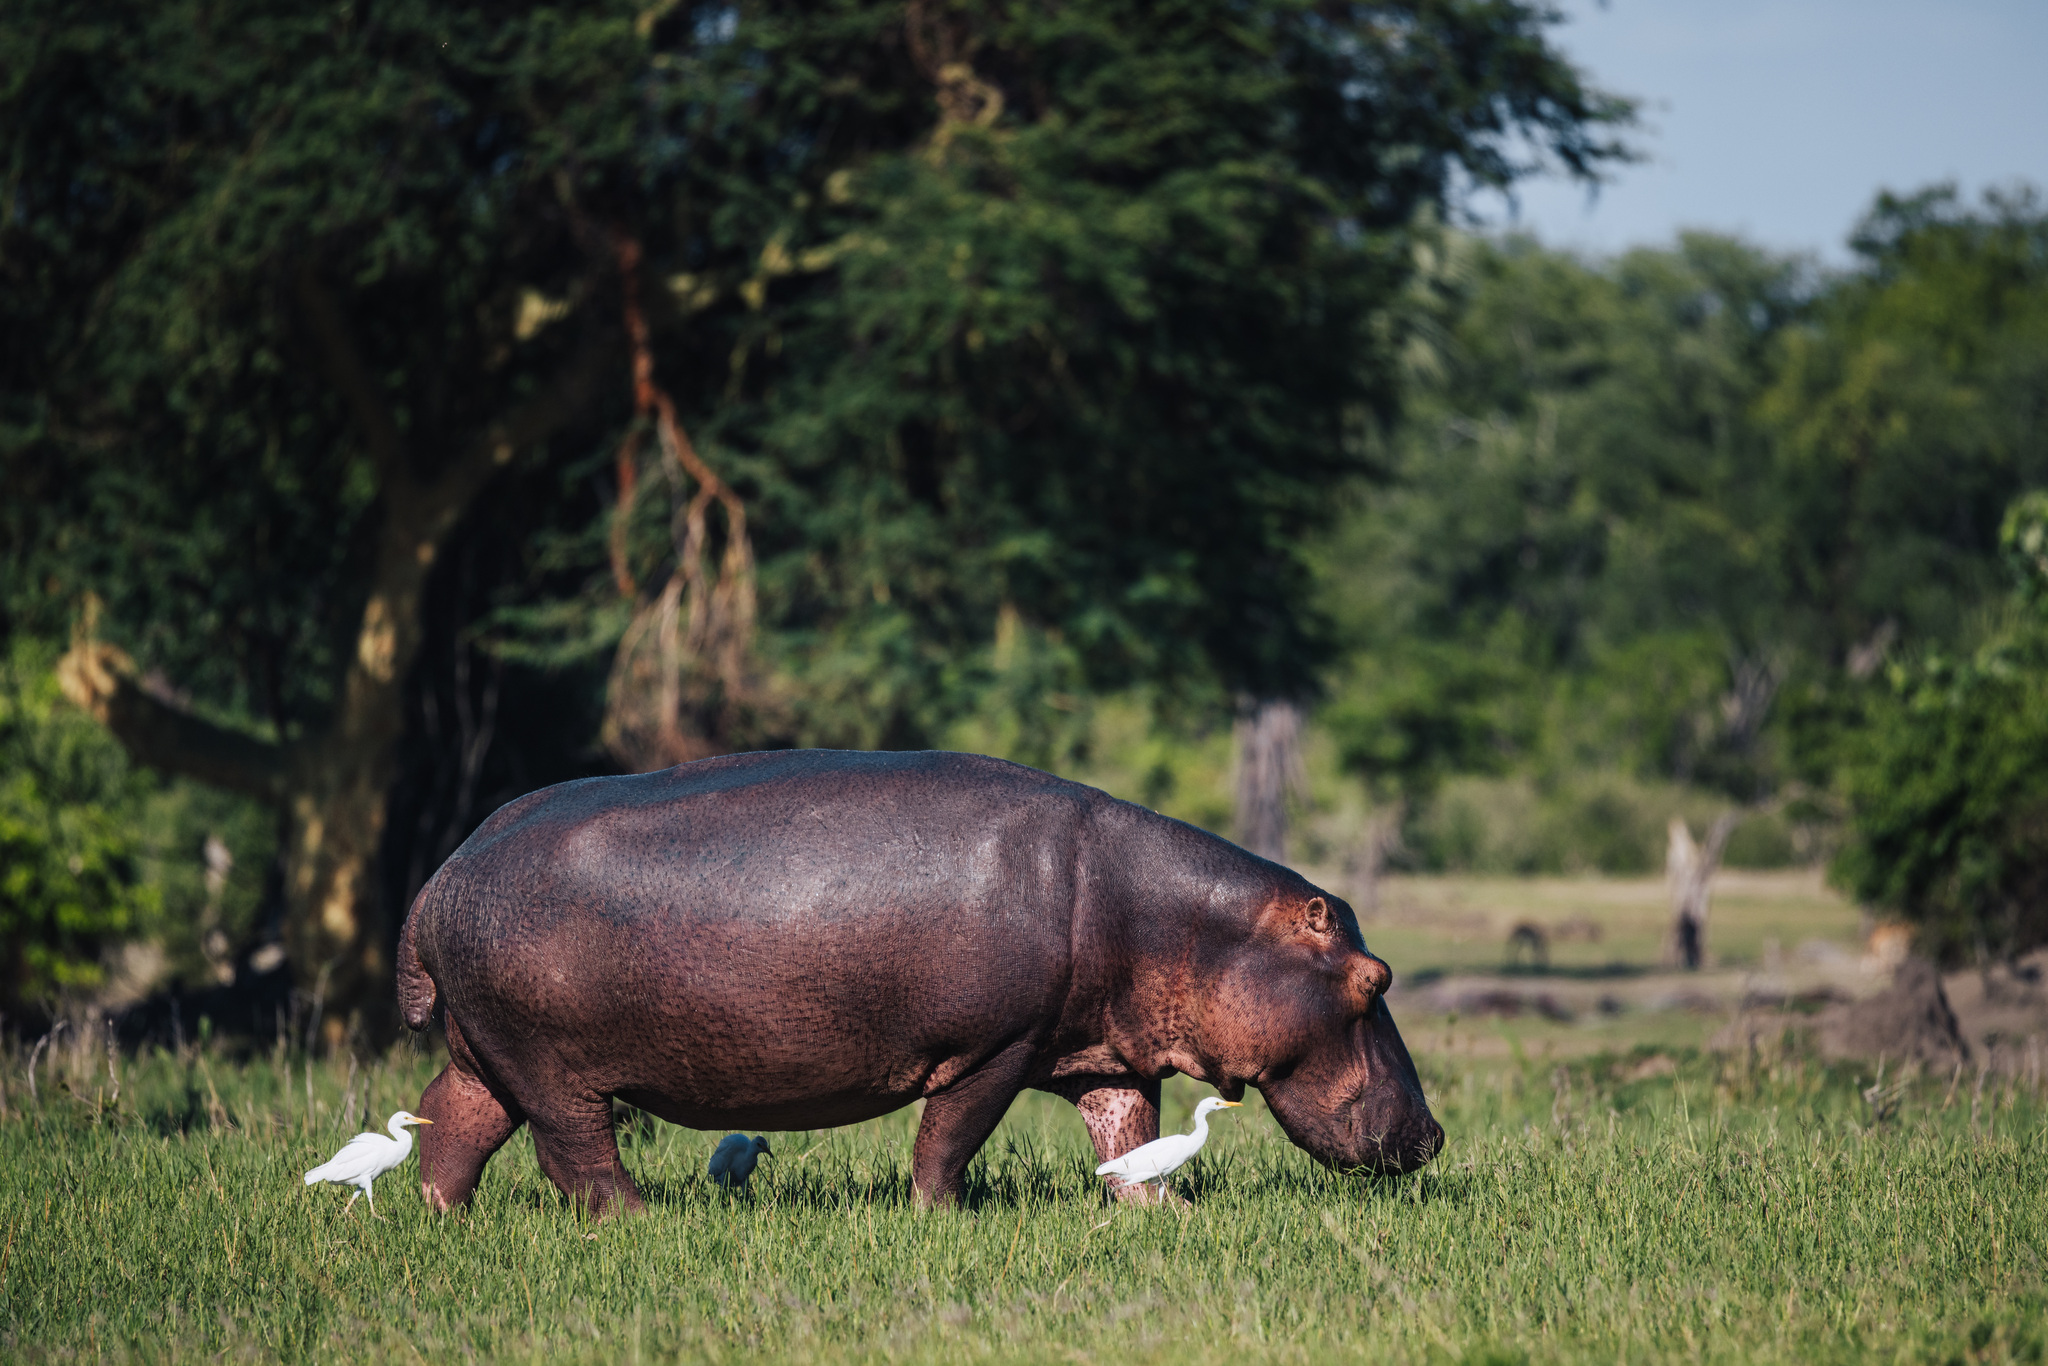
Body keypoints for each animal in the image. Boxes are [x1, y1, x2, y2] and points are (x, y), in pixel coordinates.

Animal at [397, 749, 1441, 1215]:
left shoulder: (1103, 1050)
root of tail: (445, 872)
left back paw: (448, 1221)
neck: (1184, 922)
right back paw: (648, 1220)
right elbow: (949, 1139)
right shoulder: (994, 1048)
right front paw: (946, 1217)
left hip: (487, 1053)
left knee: (453, 1123)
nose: (1434, 1136)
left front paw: (1167, 1212)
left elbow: (1130, 1135)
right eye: (1373, 977)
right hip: (553, 1069)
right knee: (575, 1155)